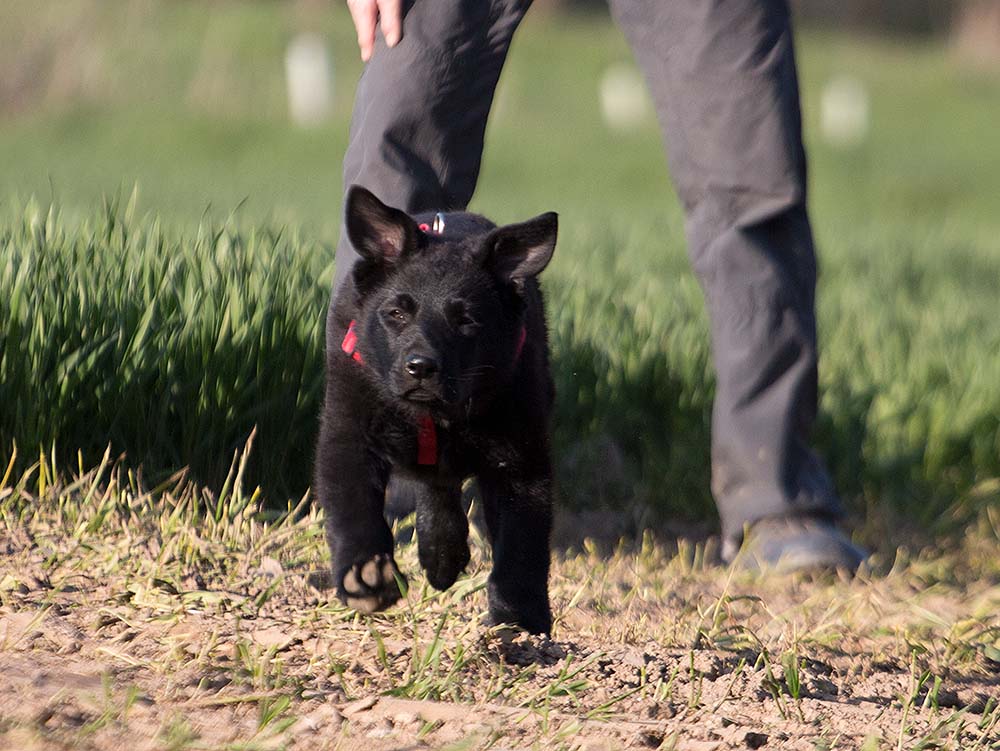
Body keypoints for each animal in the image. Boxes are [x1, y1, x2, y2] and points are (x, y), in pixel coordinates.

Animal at [316, 188, 560, 636]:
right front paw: (364, 575)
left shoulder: (520, 455)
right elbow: (353, 506)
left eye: (467, 321)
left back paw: (444, 556)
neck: (434, 415)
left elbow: (522, 541)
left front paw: (520, 621)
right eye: (396, 313)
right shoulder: (349, 430)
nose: (421, 367)